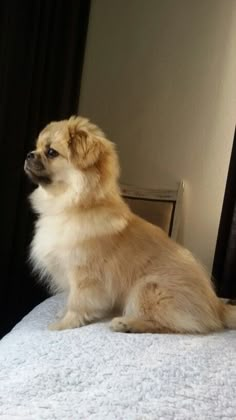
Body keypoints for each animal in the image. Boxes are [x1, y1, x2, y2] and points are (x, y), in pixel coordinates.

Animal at [24, 116, 236, 334]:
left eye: (51, 152)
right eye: (37, 147)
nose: (29, 154)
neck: (75, 206)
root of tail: (217, 306)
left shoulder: (84, 275)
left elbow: (77, 302)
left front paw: (65, 323)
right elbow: (69, 298)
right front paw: (62, 313)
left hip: (147, 287)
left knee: (168, 325)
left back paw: (127, 323)